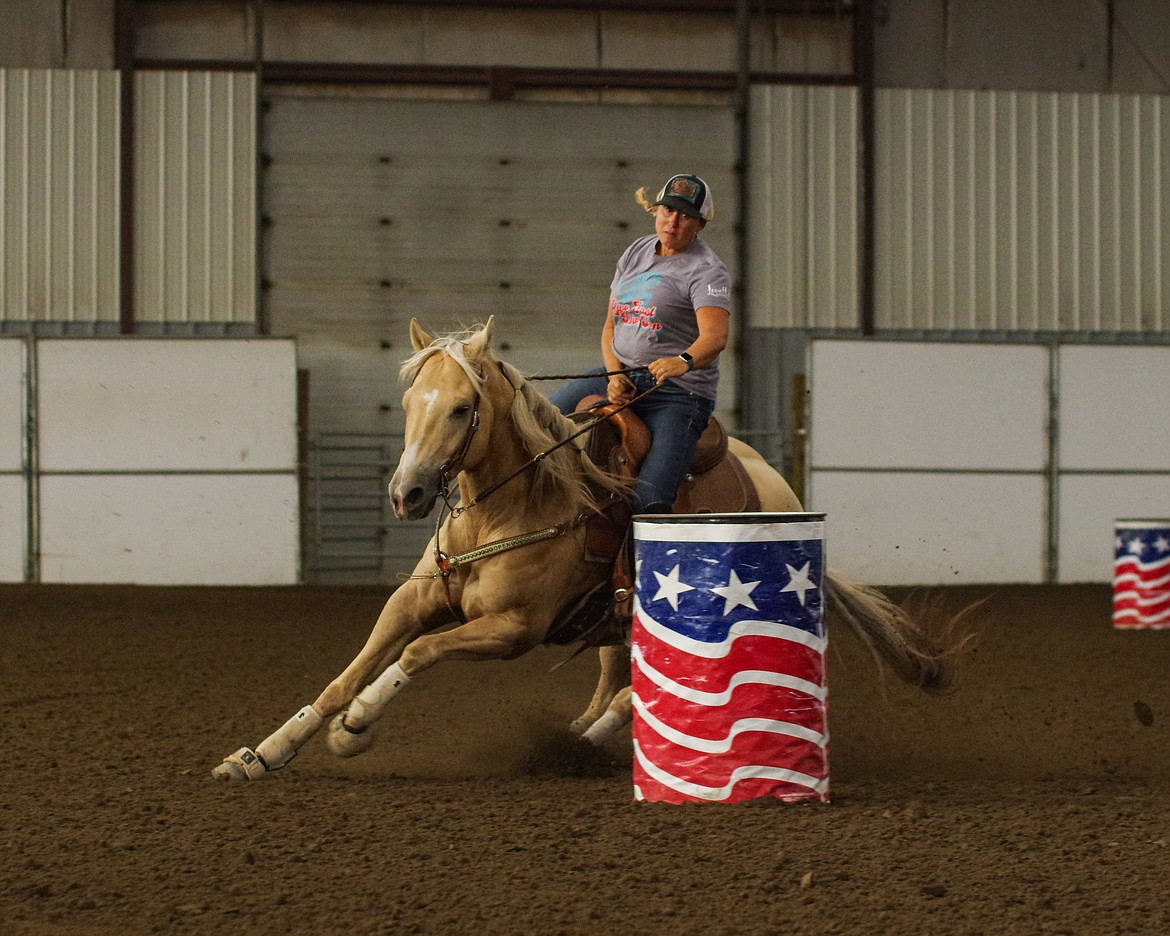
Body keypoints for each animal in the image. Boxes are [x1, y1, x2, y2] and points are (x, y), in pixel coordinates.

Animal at [215, 318, 954, 776]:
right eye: (408, 403)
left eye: (461, 408)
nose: (408, 493)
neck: (509, 505)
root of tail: (779, 491)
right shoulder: (415, 601)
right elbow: (350, 672)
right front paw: (263, 754)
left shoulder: (513, 629)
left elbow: (417, 656)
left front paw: (357, 726)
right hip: (614, 627)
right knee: (614, 683)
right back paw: (578, 736)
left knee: (638, 693)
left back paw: (582, 751)